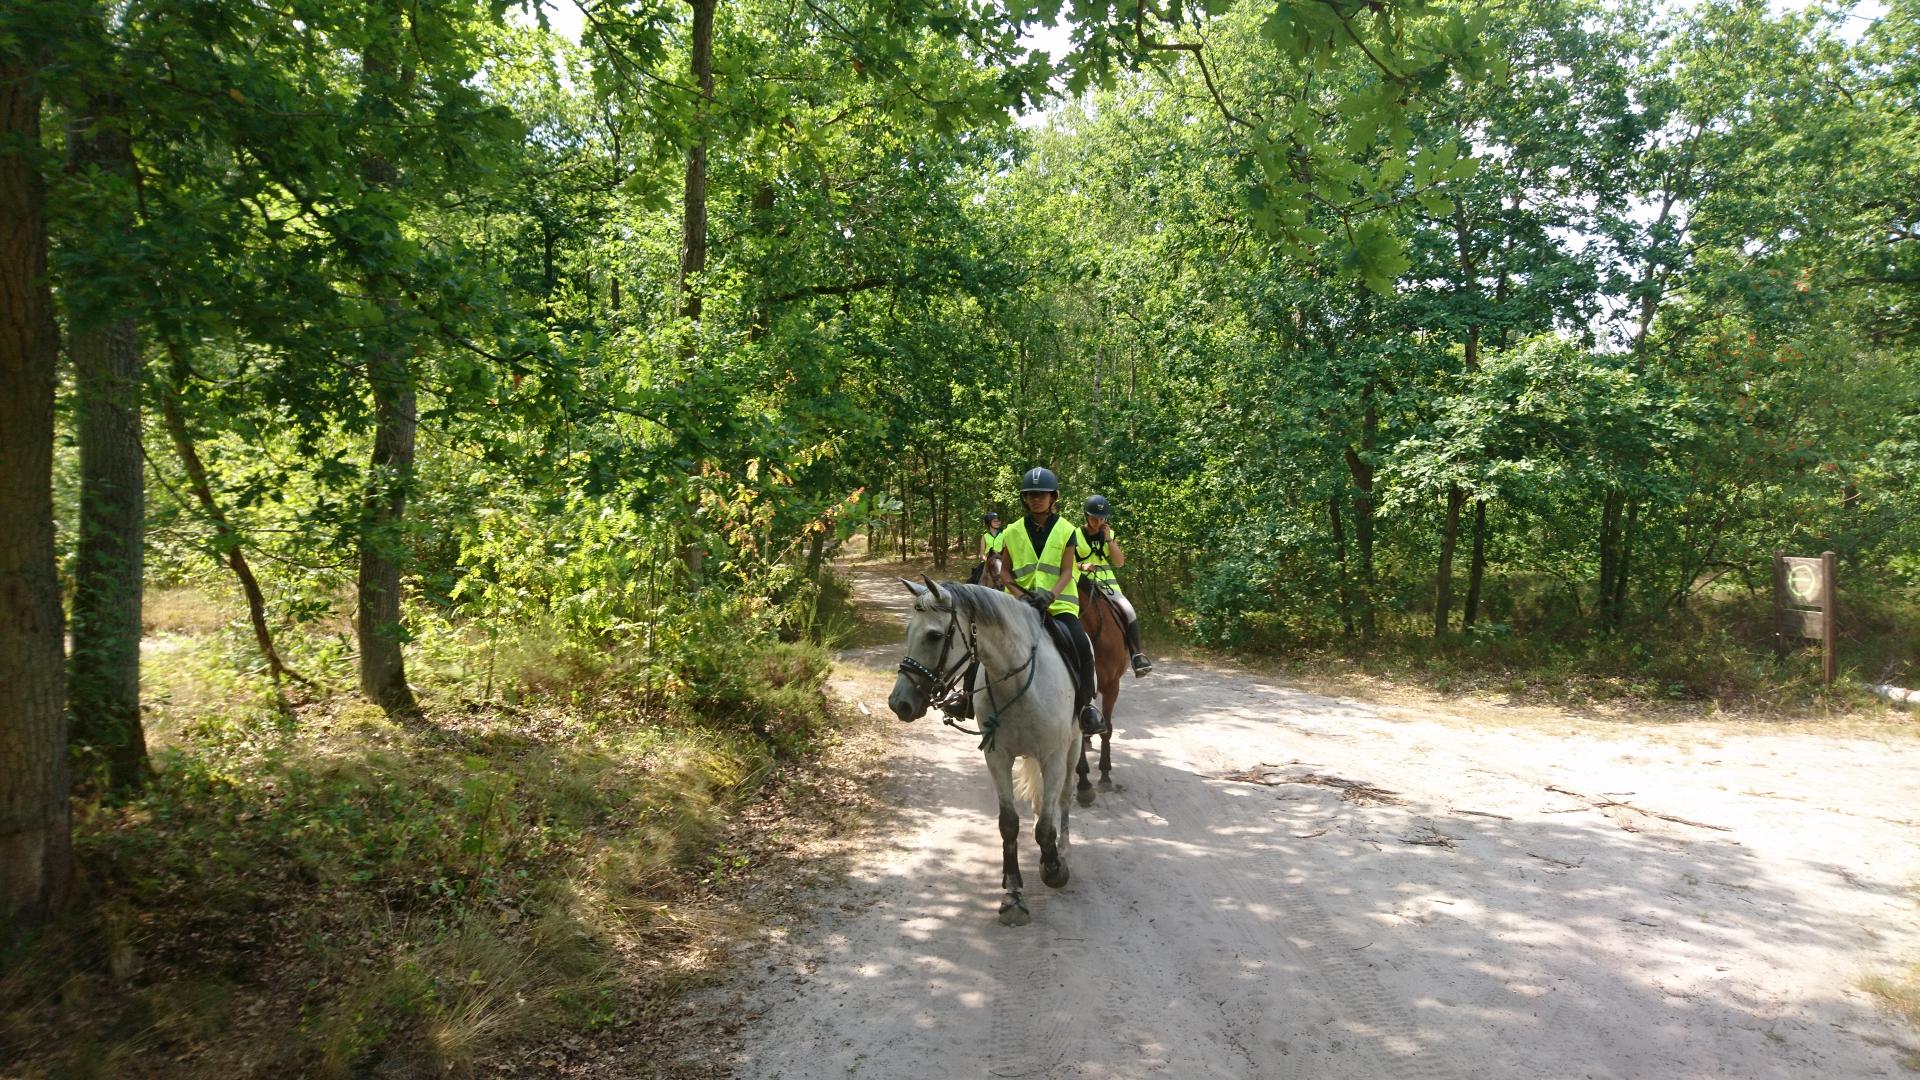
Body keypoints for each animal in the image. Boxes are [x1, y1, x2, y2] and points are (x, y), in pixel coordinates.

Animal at [887, 576, 1082, 922]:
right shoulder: (997, 757)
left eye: (934, 635)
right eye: (909, 631)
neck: (1019, 682)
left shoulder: (1054, 757)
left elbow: (1047, 825)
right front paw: (1013, 894)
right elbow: (1009, 824)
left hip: (1074, 747)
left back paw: (1065, 850)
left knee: (1063, 798)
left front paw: (1054, 869)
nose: (900, 703)